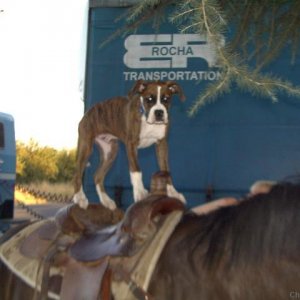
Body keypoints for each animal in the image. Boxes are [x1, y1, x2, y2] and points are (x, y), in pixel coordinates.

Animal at [72, 81, 185, 210]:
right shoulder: (131, 144)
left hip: (110, 152)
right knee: (77, 174)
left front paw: (173, 193)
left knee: (97, 176)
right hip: (86, 147)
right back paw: (80, 197)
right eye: (149, 99)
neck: (146, 118)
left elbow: (165, 170)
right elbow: (136, 169)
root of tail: (88, 111)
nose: (159, 112)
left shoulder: (162, 144)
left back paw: (106, 201)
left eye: (166, 99)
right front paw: (139, 192)